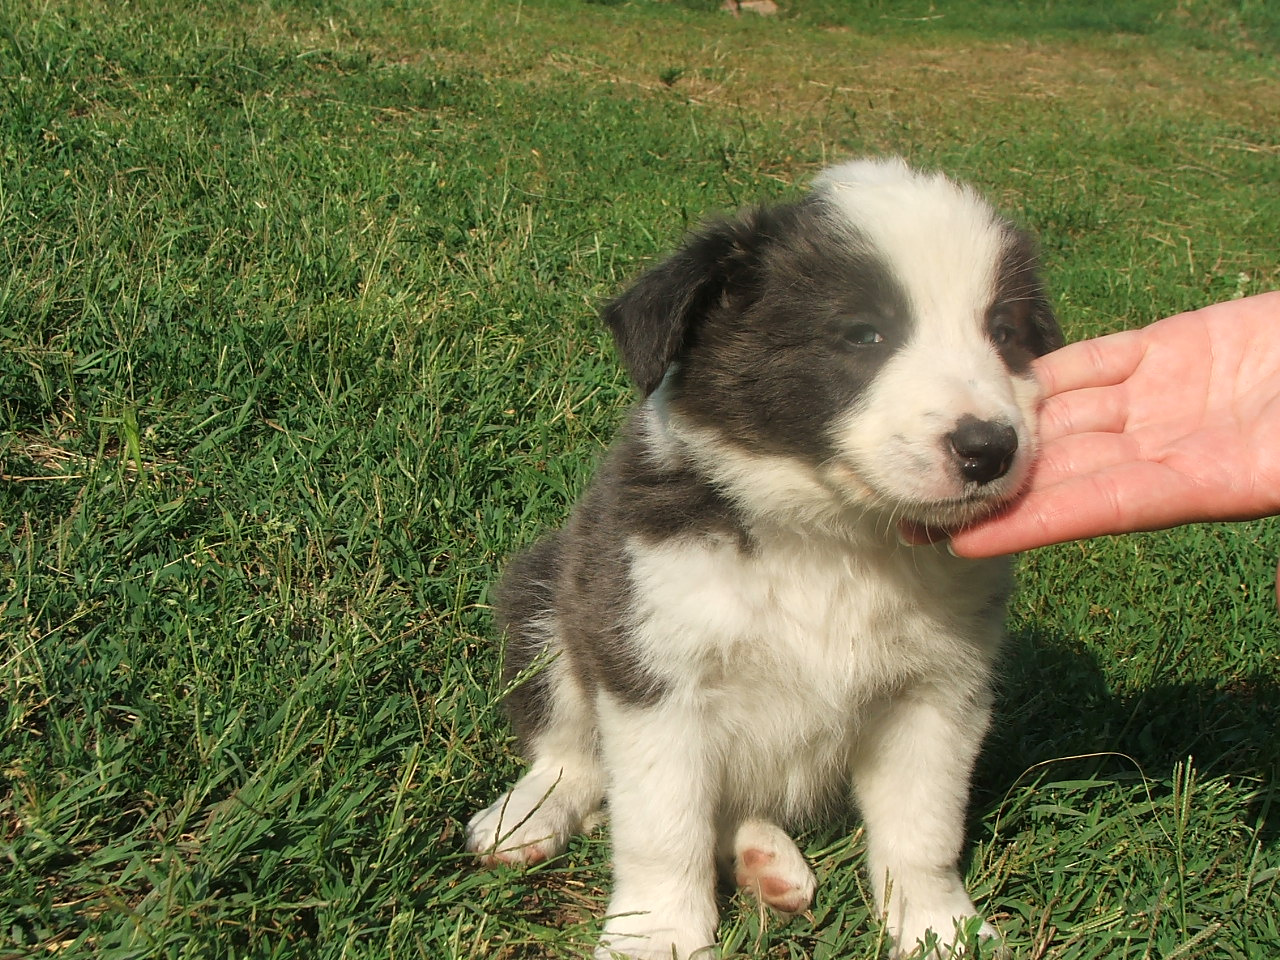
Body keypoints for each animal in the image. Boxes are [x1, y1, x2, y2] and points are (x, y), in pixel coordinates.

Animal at [468, 160, 1059, 960]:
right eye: (862, 333)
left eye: (1003, 333)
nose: (990, 449)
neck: (834, 538)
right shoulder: (654, 669)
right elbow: (662, 826)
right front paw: (655, 934)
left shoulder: (937, 692)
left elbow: (924, 828)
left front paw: (939, 928)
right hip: (554, 605)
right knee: (572, 755)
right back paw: (526, 817)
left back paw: (764, 857)